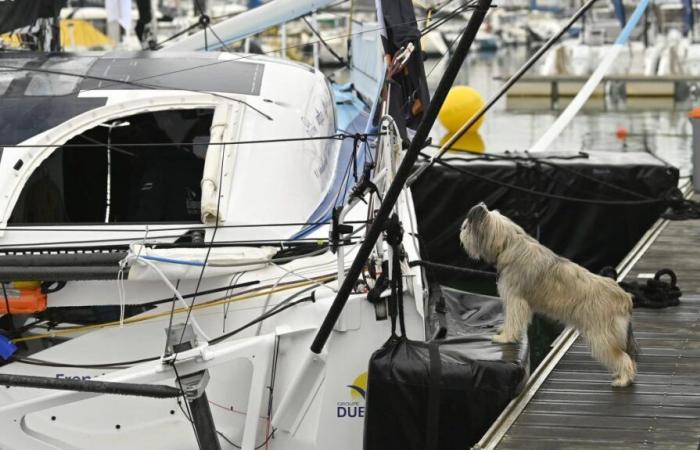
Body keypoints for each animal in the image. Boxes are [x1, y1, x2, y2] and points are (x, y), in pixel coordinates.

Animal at [460, 204, 640, 386]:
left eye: (466, 226)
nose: (461, 232)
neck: (508, 243)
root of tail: (624, 297)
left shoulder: (515, 299)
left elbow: (513, 319)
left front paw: (506, 337)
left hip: (601, 336)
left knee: (623, 358)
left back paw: (623, 380)